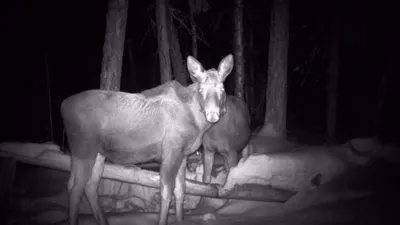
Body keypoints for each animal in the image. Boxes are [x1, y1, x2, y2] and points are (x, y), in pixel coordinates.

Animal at [61, 54, 233, 225]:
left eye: (222, 88)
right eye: (201, 89)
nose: (213, 115)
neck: (197, 125)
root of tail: (63, 106)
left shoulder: (183, 154)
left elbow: (181, 190)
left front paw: (180, 219)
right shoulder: (171, 150)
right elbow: (166, 192)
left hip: (97, 154)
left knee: (88, 186)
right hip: (83, 149)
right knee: (75, 188)